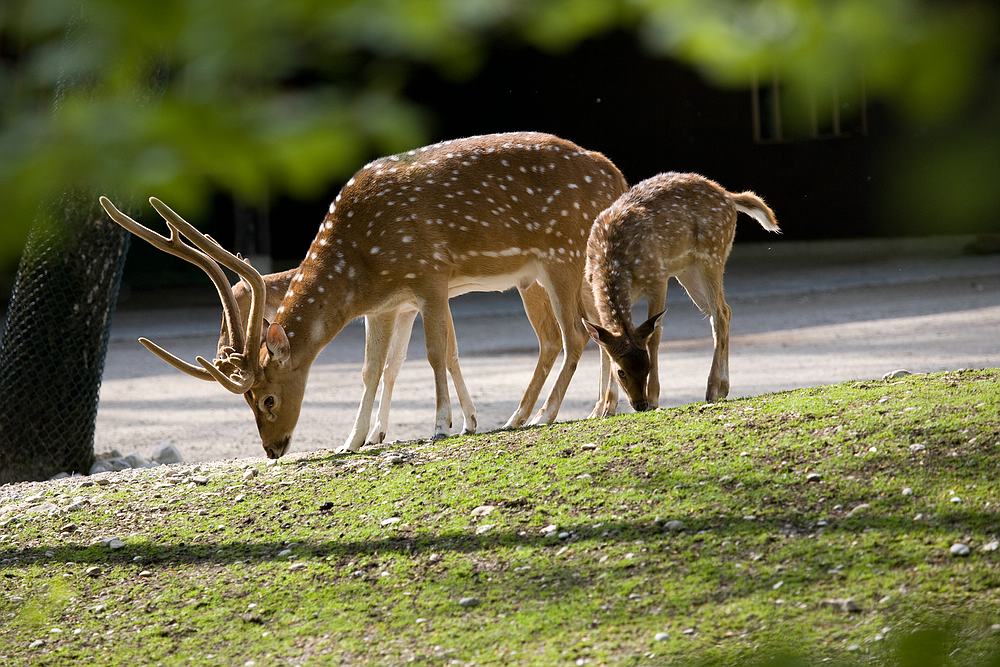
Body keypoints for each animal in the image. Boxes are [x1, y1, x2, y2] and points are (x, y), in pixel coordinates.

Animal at [105, 134, 628, 460]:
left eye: (267, 398)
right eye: (247, 401)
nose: (272, 449)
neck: (362, 263)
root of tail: (616, 174)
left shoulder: (430, 276)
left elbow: (436, 353)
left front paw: (444, 424)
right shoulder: (387, 305)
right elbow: (373, 369)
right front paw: (352, 439)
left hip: (561, 254)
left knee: (576, 334)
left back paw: (547, 414)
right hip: (543, 273)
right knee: (573, 333)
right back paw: (533, 414)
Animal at [580, 172, 780, 412]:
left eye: (647, 366)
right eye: (621, 372)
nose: (640, 404)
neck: (613, 261)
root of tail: (728, 196)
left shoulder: (657, 278)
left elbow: (655, 336)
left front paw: (654, 397)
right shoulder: (591, 286)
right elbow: (604, 347)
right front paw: (602, 410)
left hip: (712, 255)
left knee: (720, 313)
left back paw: (714, 388)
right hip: (688, 270)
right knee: (723, 311)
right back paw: (722, 388)